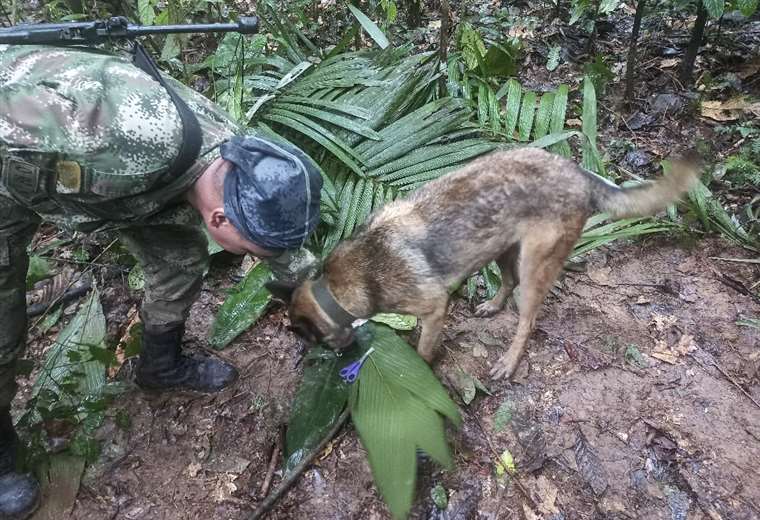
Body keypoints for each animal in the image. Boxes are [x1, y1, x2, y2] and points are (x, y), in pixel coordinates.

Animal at [266, 148, 696, 380]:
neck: (338, 286)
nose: (308, 361)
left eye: (309, 340)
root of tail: (580, 174)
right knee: (506, 282)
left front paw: (420, 369)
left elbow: (424, 349)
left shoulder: (434, 308)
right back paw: (492, 305)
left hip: (534, 265)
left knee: (527, 320)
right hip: (503, 248)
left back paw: (509, 360)